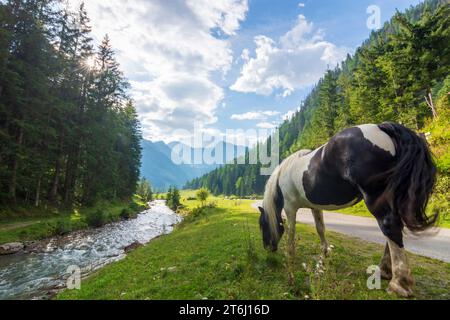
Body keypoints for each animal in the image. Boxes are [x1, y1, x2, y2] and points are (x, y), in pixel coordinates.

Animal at [258, 122, 438, 298]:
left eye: (262, 225)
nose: (268, 248)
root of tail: (382, 126)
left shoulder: (290, 208)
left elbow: (291, 233)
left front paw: (290, 255)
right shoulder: (315, 207)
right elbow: (320, 228)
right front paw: (325, 254)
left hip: (375, 198)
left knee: (389, 225)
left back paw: (399, 283)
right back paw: (385, 270)